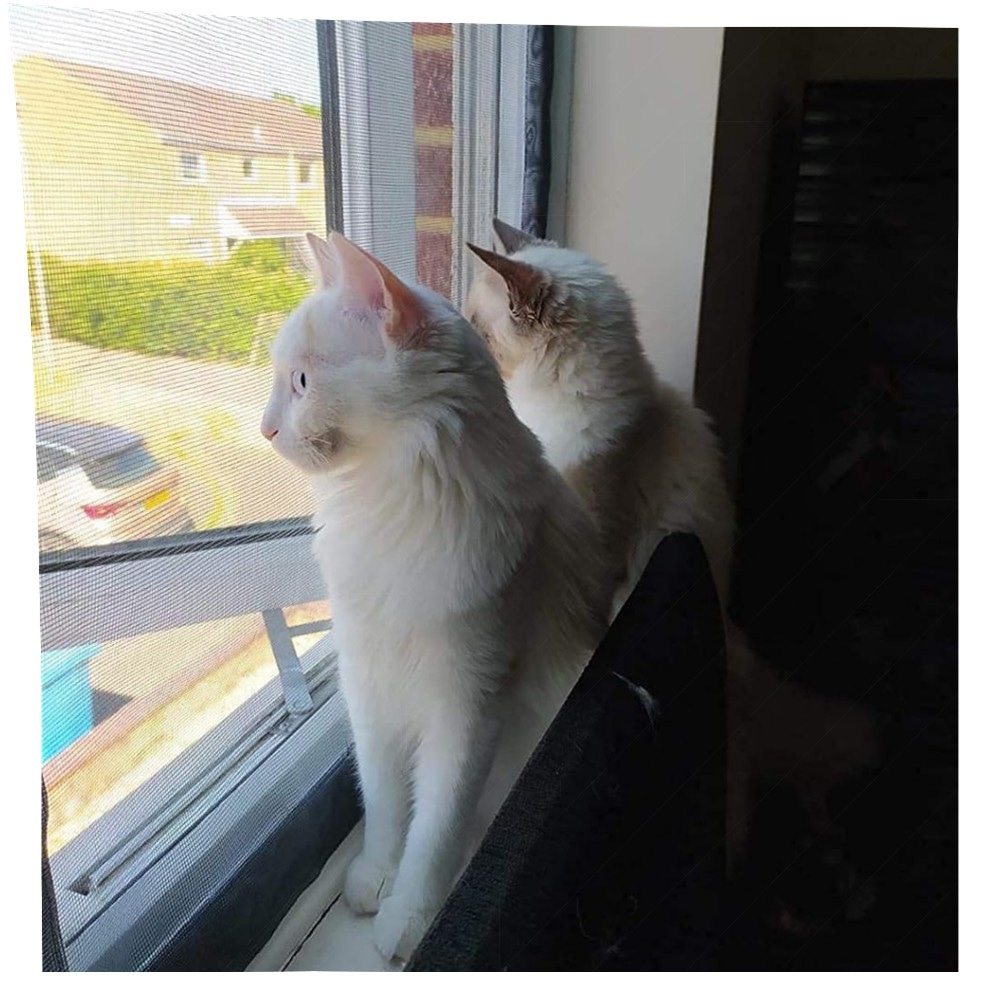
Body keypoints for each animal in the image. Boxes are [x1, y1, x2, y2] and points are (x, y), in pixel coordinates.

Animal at [261, 231, 609, 964]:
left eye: (301, 382)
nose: (265, 429)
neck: (389, 503)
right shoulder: (368, 690)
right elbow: (386, 804)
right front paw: (375, 875)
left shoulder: (468, 708)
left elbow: (435, 826)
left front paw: (411, 915)